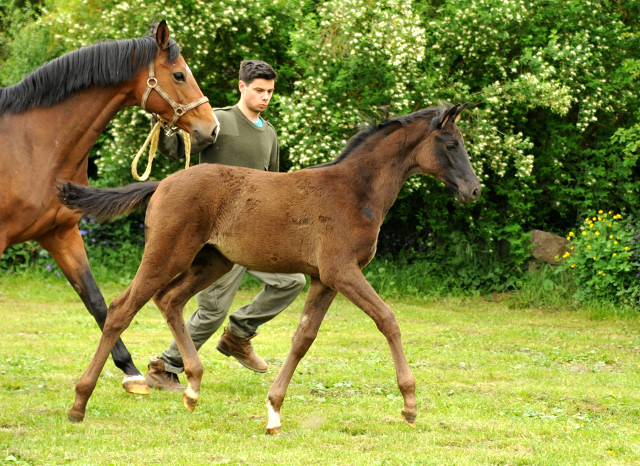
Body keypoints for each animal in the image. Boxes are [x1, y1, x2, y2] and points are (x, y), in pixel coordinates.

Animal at [60, 104, 480, 432]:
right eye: (451, 144)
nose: (473, 190)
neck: (355, 191)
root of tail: (162, 184)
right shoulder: (342, 271)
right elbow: (388, 319)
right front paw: (410, 404)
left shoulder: (323, 280)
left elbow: (303, 338)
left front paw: (274, 411)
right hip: (167, 254)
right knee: (122, 309)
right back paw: (79, 404)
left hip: (212, 261)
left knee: (170, 300)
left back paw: (193, 388)